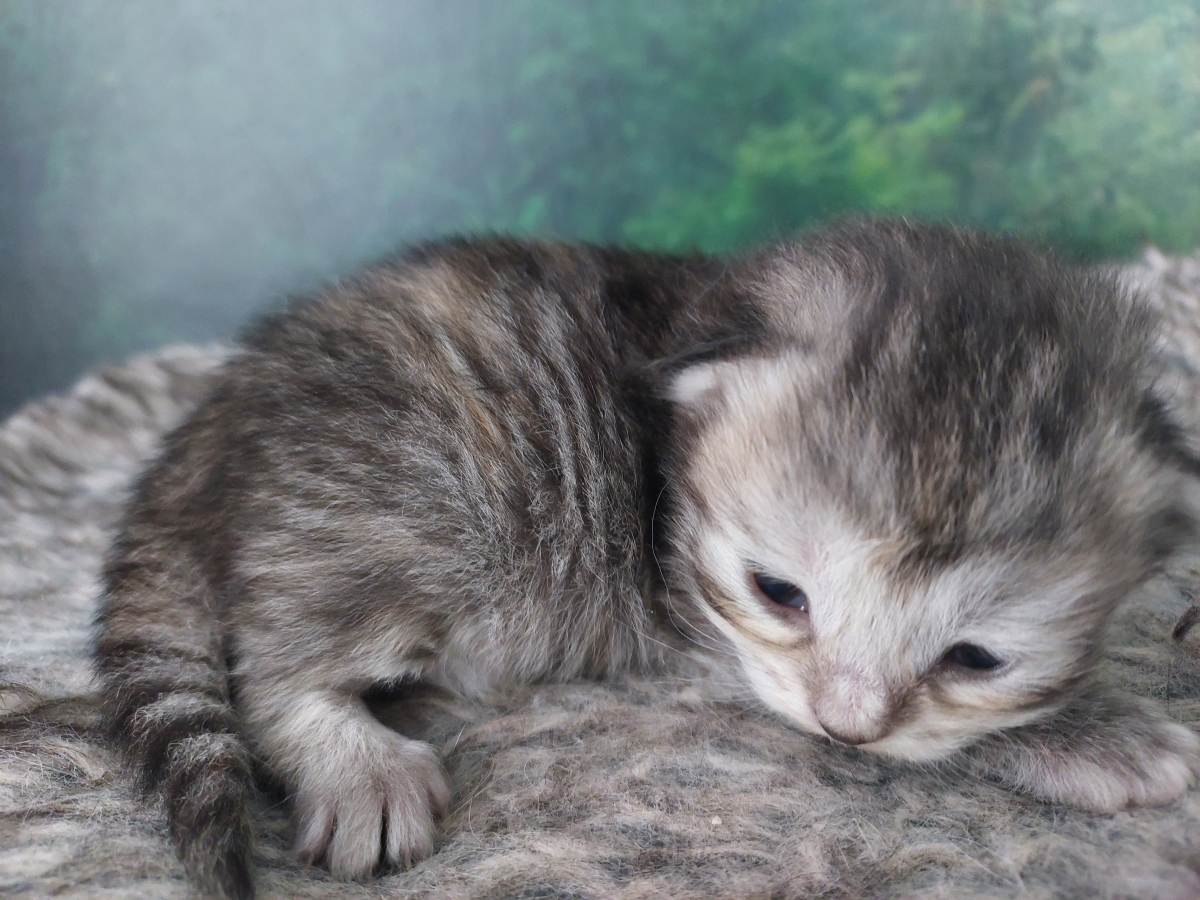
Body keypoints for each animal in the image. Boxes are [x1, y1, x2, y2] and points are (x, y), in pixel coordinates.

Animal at [94, 220, 1200, 900]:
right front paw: (1099, 739)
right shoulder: (709, 633)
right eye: (779, 593)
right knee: (270, 658)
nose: (846, 727)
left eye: (976, 657)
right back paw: (353, 761)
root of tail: (227, 410)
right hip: (412, 502)